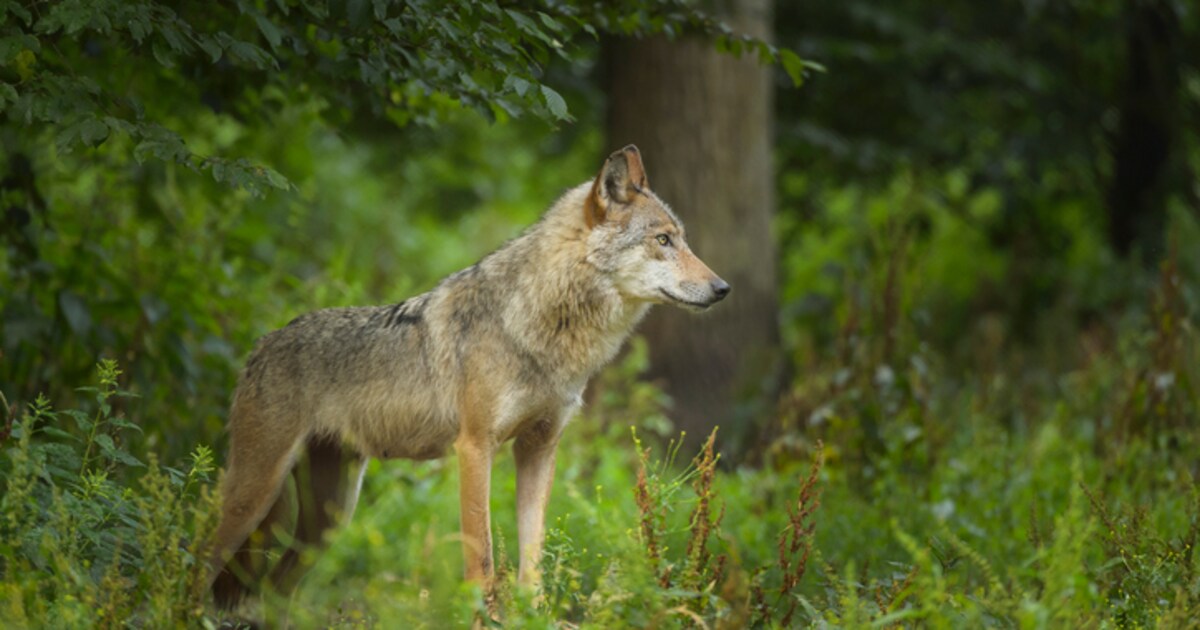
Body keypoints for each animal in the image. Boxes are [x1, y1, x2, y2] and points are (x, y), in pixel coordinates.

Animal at [207, 145, 730, 609]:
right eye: (662, 240)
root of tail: (261, 345)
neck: (545, 328)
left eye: (682, 239)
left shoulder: (539, 447)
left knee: (270, 592)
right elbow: (481, 561)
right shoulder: (476, 447)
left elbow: (532, 560)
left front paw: (532, 613)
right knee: (198, 560)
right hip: (255, 496)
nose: (723, 288)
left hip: (327, 523)